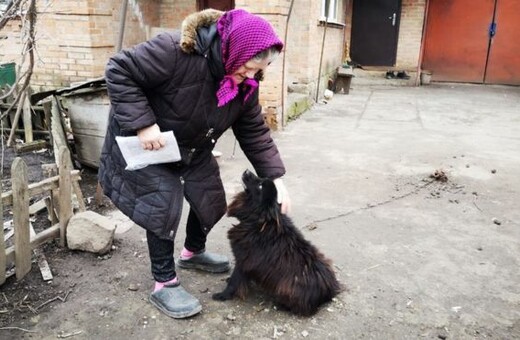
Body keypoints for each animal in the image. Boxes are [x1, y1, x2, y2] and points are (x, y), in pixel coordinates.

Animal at [213, 170, 344, 316]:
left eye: (260, 186)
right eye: (261, 179)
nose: (247, 171)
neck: (259, 222)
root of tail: (328, 292)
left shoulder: (243, 261)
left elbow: (234, 281)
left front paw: (223, 295)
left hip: (285, 288)